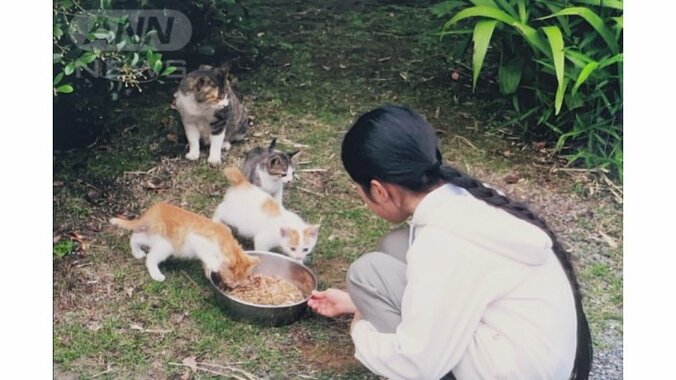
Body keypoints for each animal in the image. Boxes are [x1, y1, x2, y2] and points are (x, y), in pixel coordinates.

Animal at [109, 202, 260, 288]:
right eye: (231, 279)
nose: (233, 286)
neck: (224, 241)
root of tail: (154, 210)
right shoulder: (195, 238)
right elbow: (207, 255)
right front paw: (213, 263)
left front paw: (208, 270)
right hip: (166, 244)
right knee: (150, 257)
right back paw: (156, 274)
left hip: (155, 238)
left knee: (136, 237)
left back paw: (137, 252)